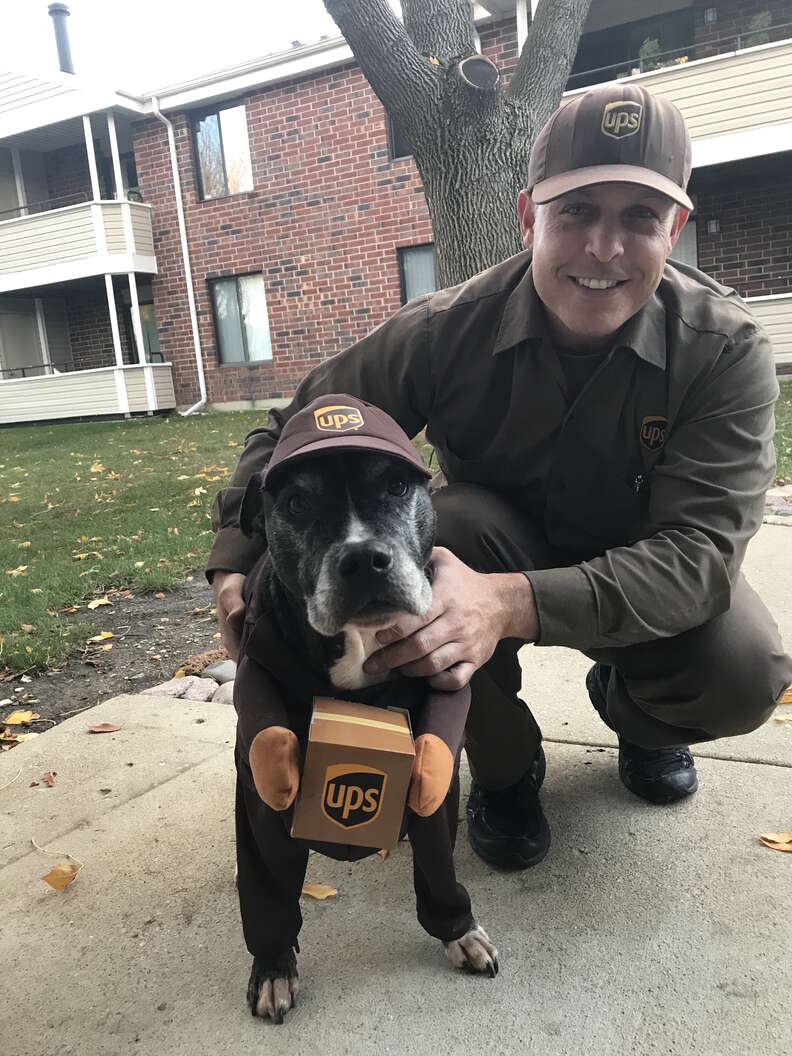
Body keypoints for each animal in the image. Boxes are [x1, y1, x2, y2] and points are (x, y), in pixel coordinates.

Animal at [232, 397, 498, 1022]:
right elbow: (267, 887)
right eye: (297, 503)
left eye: (397, 485)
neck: (358, 643)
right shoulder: (259, 784)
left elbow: (437, 858)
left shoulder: (433, 768)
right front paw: (273, 967)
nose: (363, 559)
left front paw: (457, 929)